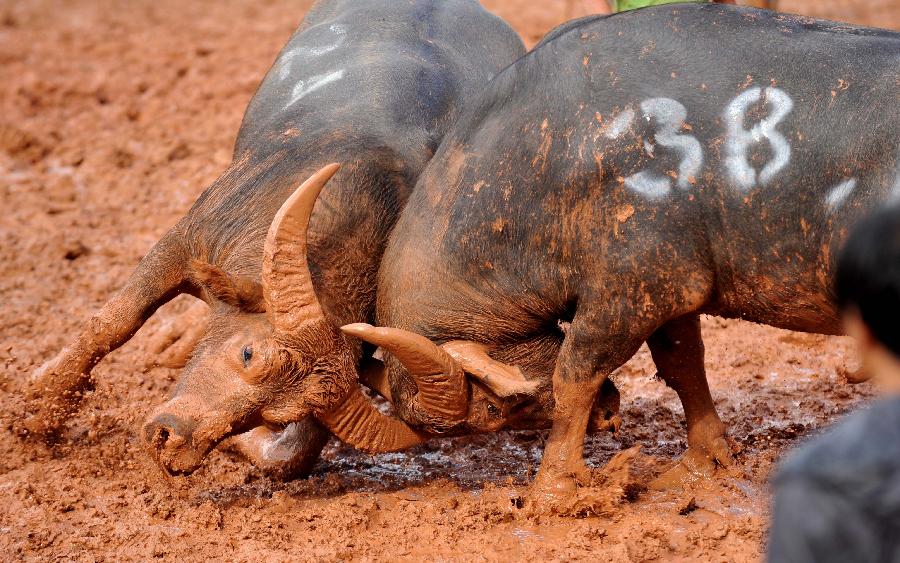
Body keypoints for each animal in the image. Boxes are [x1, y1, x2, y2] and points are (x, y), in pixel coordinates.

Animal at [19, 0, 528, 476]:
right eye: (248, 353)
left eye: (276, 414)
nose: (171, 441)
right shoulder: (184, 240)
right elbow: (113, 323)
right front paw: (38, 414)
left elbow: (291, 457)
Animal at [332, 3, 900, 498]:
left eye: (493, 412)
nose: (609, 414)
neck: (550, 157)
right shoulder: (672, 292)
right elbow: (683, 367)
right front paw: (705, 461)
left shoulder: (626, 299)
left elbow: (572, 378)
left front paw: (554, 489)